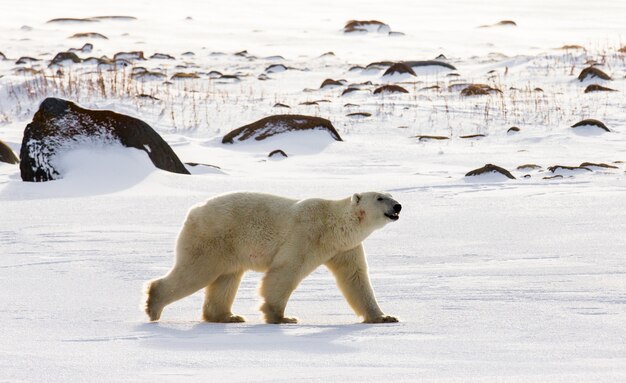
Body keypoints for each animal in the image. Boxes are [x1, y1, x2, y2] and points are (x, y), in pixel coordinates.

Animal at [143, 192, 400, 324]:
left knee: (226, 279)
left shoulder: (345, 248)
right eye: (380, 198)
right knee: (195, 272)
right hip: (213, 238)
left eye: (390, 195)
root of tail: (193, 211)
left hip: (229, 248)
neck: (333, 225)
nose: (398, 205)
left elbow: (356, 279)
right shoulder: (306, 234)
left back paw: (229, 316)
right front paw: (282, 317)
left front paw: (384, 316)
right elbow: (285, 271)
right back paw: (153, 305)